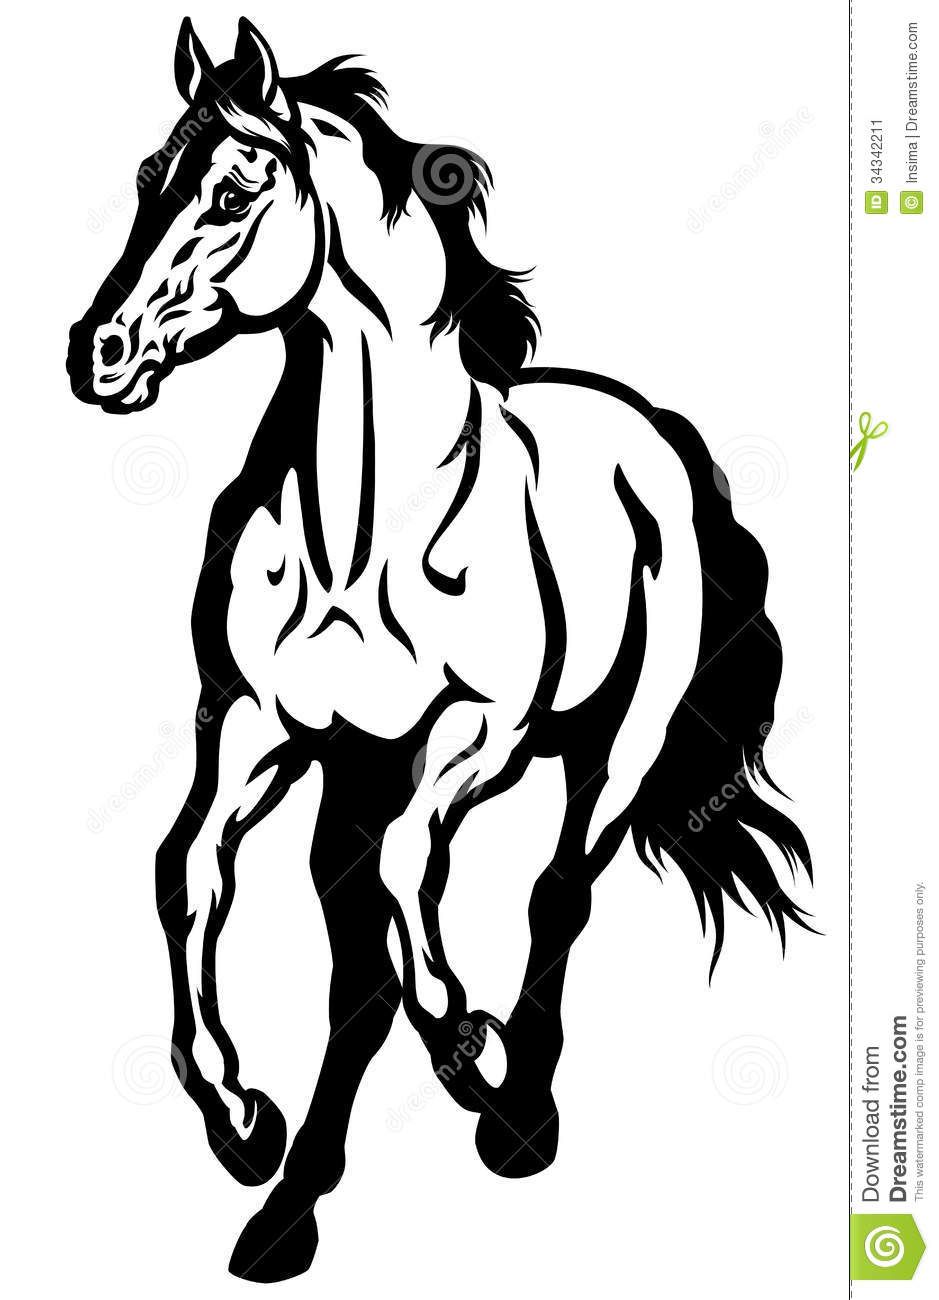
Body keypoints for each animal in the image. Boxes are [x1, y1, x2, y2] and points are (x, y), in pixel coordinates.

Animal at [67, 18, 812, 1283]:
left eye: (232, 189)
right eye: (145, 178)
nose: (96, 354)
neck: (362, 532)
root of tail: (655, 435)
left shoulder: (479, 732)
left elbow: (420, 877)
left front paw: (476, 1048)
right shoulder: (262, 729)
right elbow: (191, 873)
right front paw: (244, 1125)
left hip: (615, 747)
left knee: (556, 896)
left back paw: (519, 1120)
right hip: (355, 777)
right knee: (358, 969)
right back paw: (288, 1212)